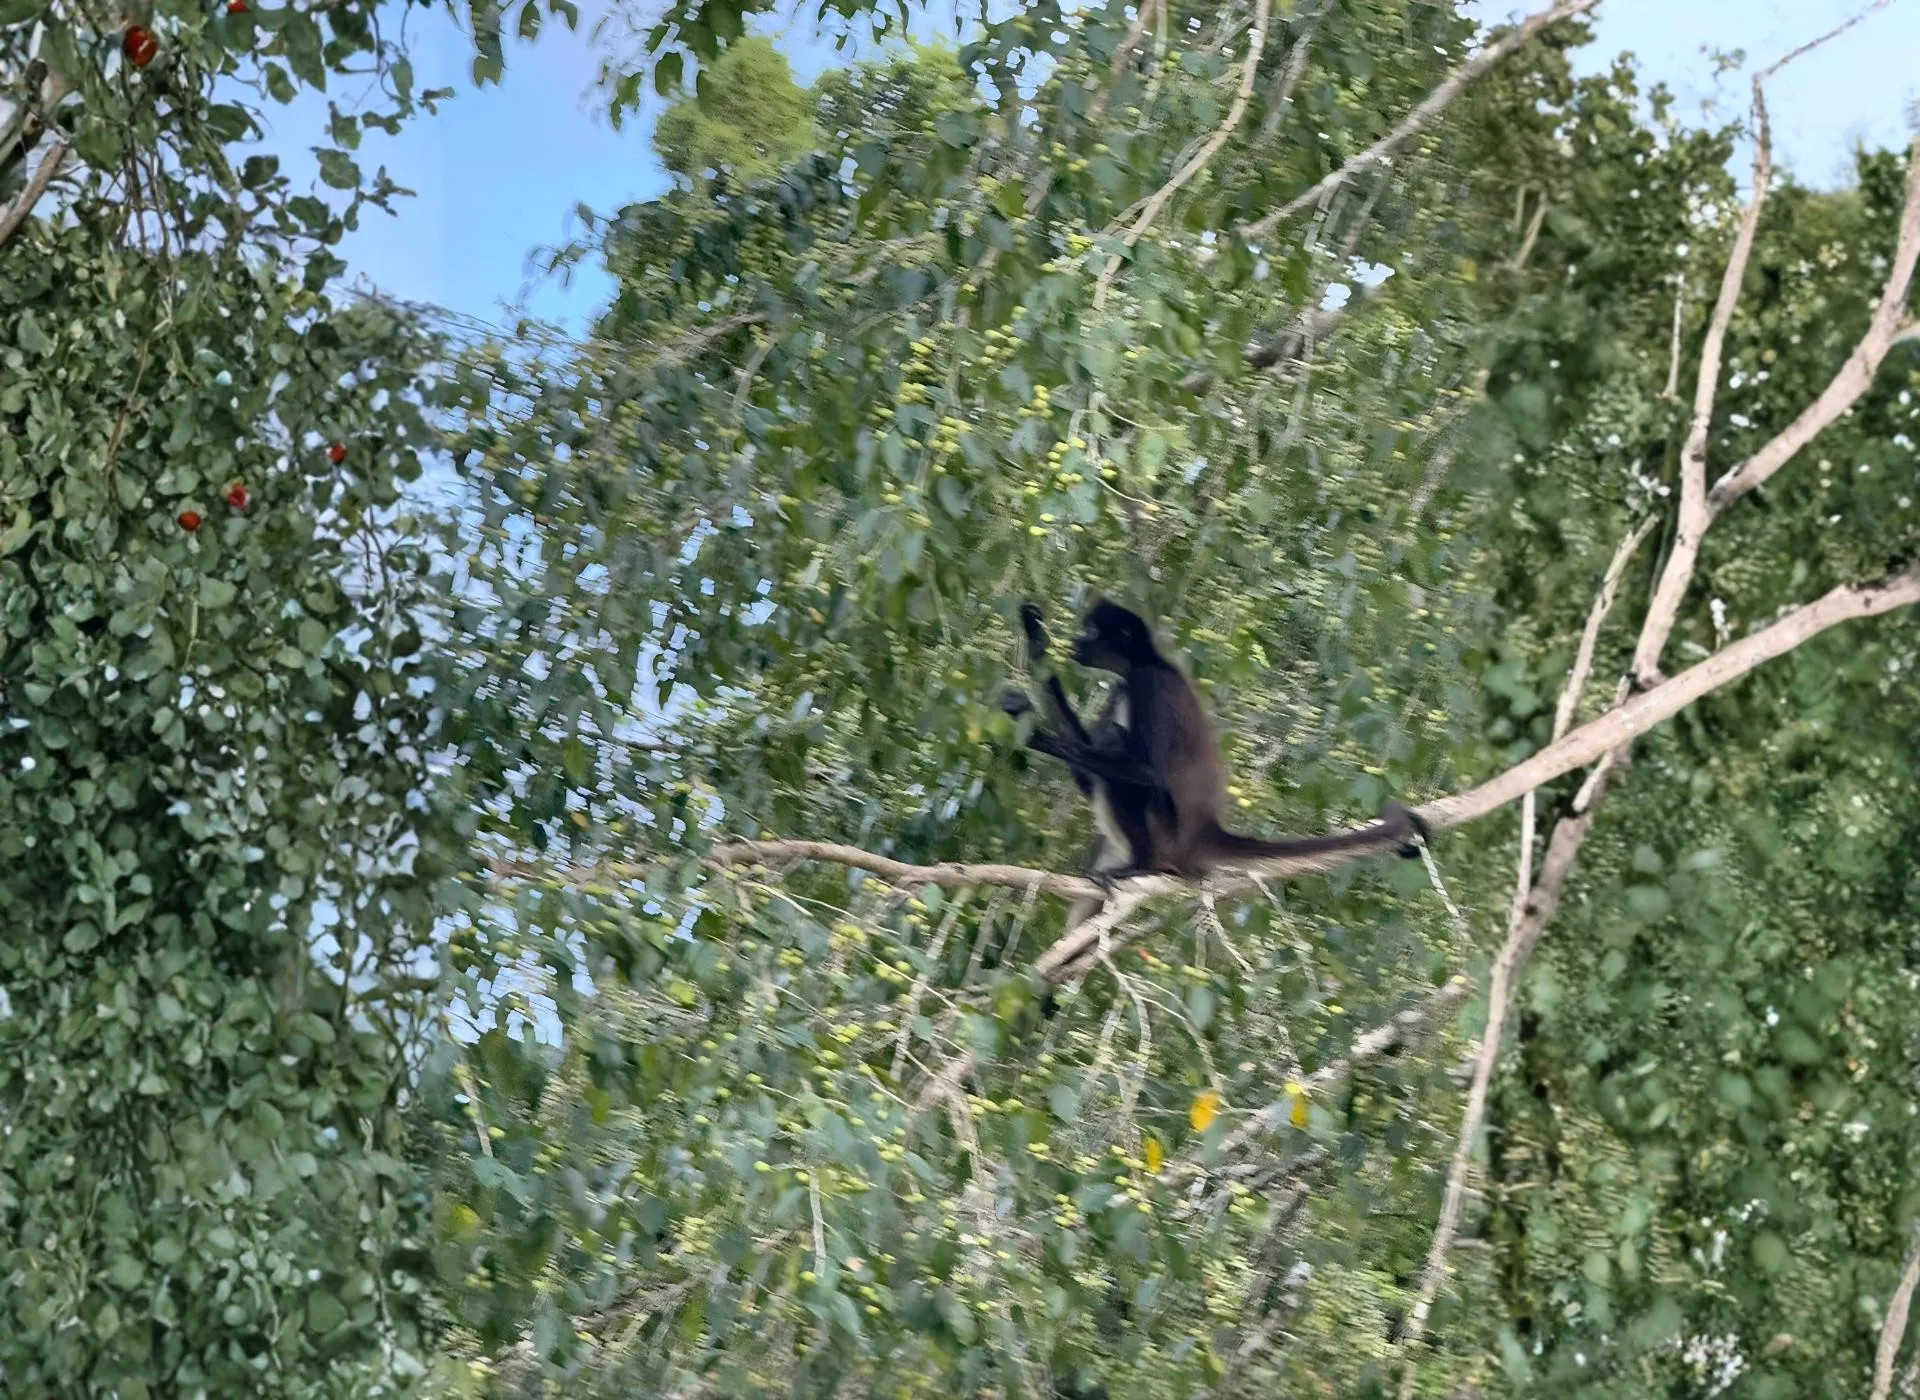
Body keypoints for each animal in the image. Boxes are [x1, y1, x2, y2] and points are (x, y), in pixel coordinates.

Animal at [1001, 598, 1427, 899]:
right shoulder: (1123, 686)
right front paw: (1035, 639)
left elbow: (1146, 773)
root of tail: (1204, 831)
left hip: (1167, 832)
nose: (1075, 642)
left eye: (1089, 631)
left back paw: (1142, 865)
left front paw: (1035, 735)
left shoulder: (1147, 685)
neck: (1146, 663)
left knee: (1128, 769)